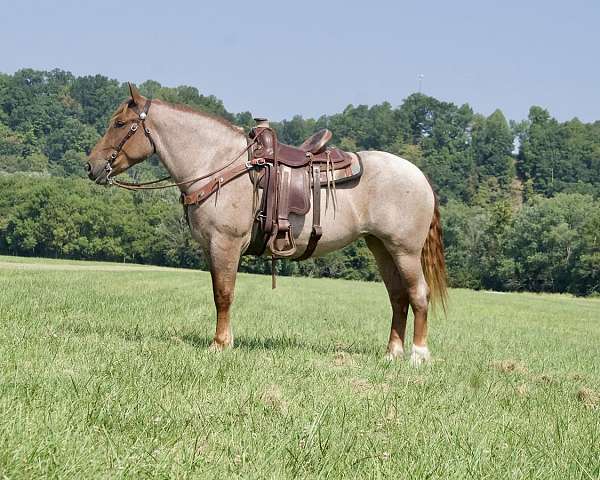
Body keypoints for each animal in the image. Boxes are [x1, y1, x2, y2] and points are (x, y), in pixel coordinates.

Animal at [86, 84, 448, 366]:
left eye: (120, 123)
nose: (91, 166)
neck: (219, 165)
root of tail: (419, 176)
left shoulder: (225, 243)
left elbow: (223, 294)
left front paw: (219, 344)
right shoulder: (212, 248)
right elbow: (220, 292)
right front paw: (225, 340)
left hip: (404, 251)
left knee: (418, 294)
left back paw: (418, 355)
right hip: (381, 248)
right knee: (398, 297)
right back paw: (392, 354)